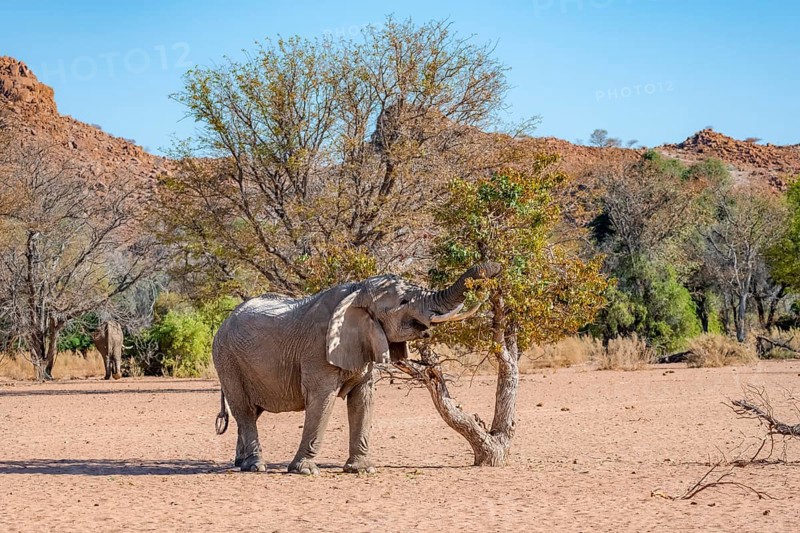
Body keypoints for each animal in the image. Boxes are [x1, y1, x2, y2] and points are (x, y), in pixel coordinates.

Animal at [212, 262, 501, 474]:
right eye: (403, 302)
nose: (494, 271)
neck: (357, 291)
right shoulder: (318, 348)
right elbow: (322, 401)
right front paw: (305, 470)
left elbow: (363, 400)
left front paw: (362, 470)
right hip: (226, 359)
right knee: (244, 409)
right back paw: (255, 466)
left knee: (251, 412)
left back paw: (241, 463)